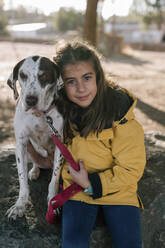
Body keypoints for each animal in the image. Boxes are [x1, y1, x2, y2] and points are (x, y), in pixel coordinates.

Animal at [5, 55, 63, 219]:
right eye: (23, 75)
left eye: (44, 76)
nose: (30, 100)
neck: (39, 115)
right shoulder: (21, 143)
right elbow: (22, 179)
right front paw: (20, 205)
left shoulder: (60, 144)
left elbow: (54, 179)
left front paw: (53, 201)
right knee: (36, 163)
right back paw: (34, 171)